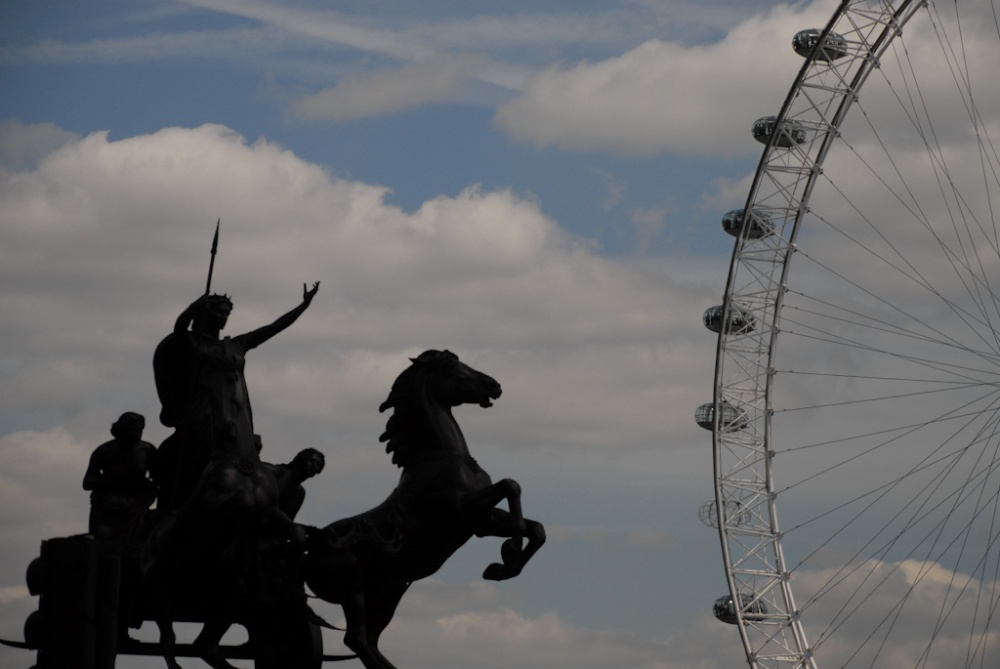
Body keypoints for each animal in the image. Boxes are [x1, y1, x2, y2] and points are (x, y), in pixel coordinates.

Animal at [308, 350, 552, 668]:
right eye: (450, 366)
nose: (494, 385)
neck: (441, 458)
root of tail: (308, 550)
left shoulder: (481, 521)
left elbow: (536, 528)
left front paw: (501, 567)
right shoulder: (462, 511)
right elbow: (512, 490)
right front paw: (508, 553)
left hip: (388, 593)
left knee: (370, 640)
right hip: (354, 591)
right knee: (357, 639)